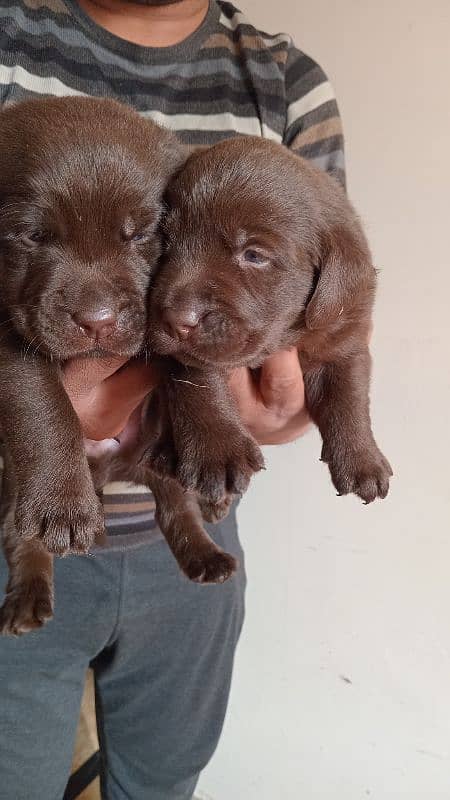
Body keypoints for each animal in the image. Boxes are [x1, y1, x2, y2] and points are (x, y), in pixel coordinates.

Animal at [146, 136, 392, 506]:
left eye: (254, 255)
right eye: (166, 241)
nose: (177, 320)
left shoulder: (344, 334)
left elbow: (348, 395)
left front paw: (362, 459)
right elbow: (196, 379)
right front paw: (218, 451)